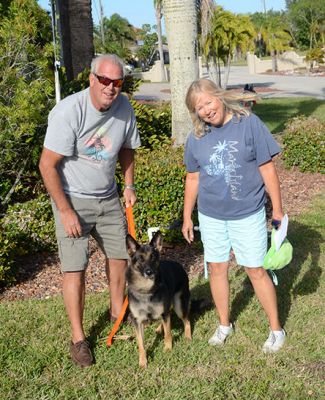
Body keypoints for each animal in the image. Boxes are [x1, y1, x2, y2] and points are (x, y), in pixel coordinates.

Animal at [125, 231, 191, 368]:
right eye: (140, 259)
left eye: (153, 258)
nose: (149, 272)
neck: (146, 290)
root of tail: (179, 265)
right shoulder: (137, 321)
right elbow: (141, 344)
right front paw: (143, 361)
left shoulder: (164, 312)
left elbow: (168, 333)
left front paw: (168, 349)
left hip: (179, 306)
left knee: (186, 320)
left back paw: (188, 337)